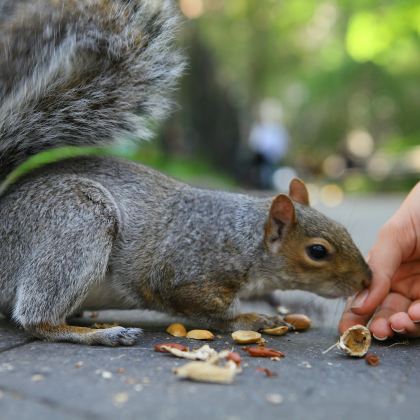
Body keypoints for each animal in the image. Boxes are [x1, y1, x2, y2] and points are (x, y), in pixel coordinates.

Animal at [0, 0, 370, 344]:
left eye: (344, 230)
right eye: (318, 251)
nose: (368, 280)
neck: (242, 238)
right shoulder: (182, 273)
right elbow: (207, 309)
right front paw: (249, 319)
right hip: (77, 221)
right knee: (37, 319)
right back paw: (97, 333)